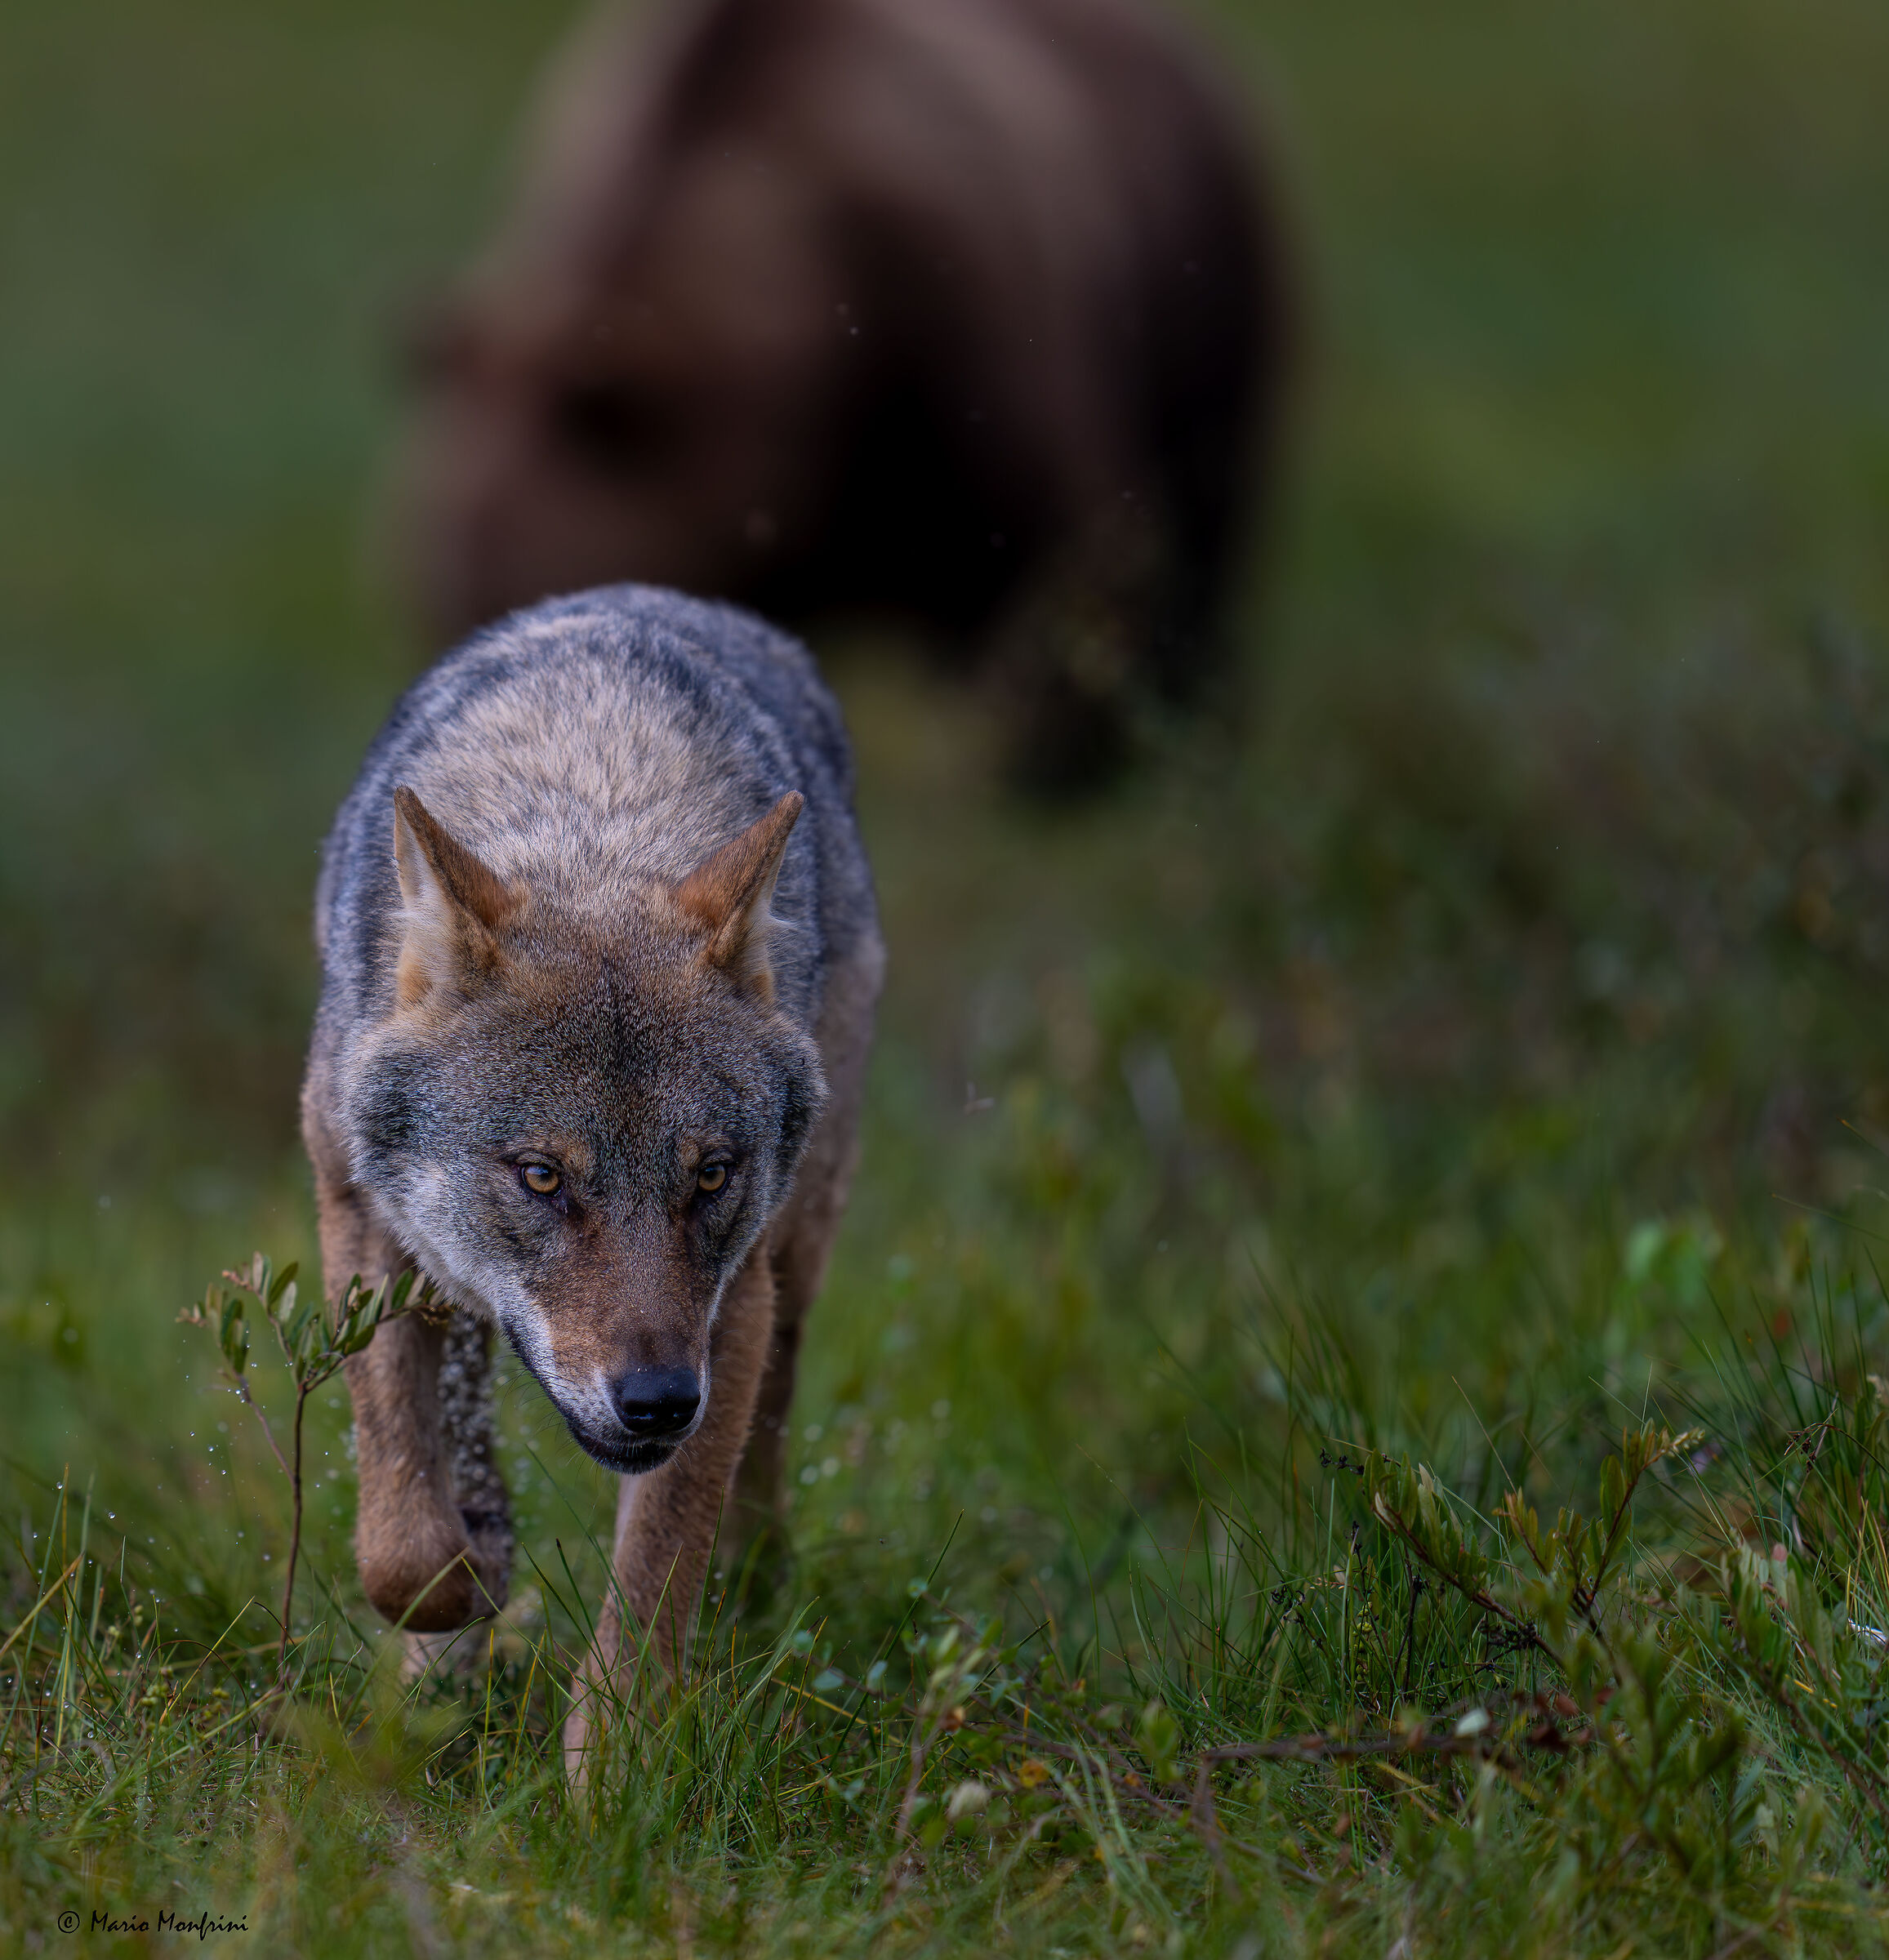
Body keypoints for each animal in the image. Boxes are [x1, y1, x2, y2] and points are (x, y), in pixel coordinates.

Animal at [300, 584, 881, 1754]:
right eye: (541, 1177)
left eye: (710, 1176)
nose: (657, 1403)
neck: (593, 822)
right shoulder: (358, 1213)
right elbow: (403, 1547)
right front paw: (464, 1588)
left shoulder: (732, 1310)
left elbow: (658, 1570)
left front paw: (616, 1766)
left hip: (797, 1259)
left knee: (770, 1426)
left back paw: (754, 1585)